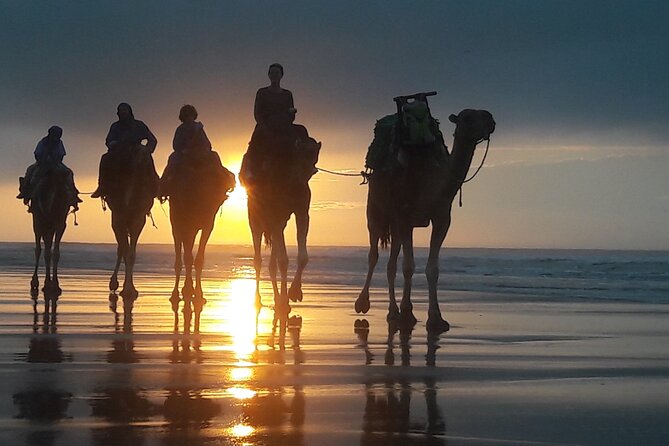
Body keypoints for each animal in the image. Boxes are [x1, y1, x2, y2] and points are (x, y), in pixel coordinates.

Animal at [25, 159, 77, 304]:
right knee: (42, 247)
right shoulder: (41, 220)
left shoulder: (58, 222)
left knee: (47, 246)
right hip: (42, 220)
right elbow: (42, 250)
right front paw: (43, 283)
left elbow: (54, 251)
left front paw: (53, 284)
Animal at [103, 145, 158, 312]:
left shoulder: (137, 219)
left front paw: (128, 289)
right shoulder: (119, 218)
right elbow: (124, 250)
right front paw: (121, 287)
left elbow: (129, 252)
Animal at [164, 152, 235, 332]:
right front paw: (184, 291)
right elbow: (185, 256)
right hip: (178, 221)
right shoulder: (182, 221)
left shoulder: (207, 223)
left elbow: (198, 258)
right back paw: (178, 293)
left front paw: (198, 294)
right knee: (181, 254)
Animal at [243, 129, 320, 342]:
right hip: (256, 219)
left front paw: (294, 293)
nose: (300, 187)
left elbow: (301, 257)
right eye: (299, 157)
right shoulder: (275, 215)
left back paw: (278, 299)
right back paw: (258, 300)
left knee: (273, 260)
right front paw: (287, 297)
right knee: (259, 258)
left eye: (314, 159)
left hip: (279, 221)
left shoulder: (301, 212)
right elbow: (283, 260)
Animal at [352, 106, 494, 332]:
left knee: (391, 264)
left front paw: (435, 319)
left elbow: (431, 268)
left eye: (483, 114)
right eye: (467, 118)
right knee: (373, 254)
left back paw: (393, 312)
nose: (490, 120)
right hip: (375, 211)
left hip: (394, 224)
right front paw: (408, 314)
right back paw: (363, 303)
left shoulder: (441, 218)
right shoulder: (405, 216)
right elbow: (408, 266)